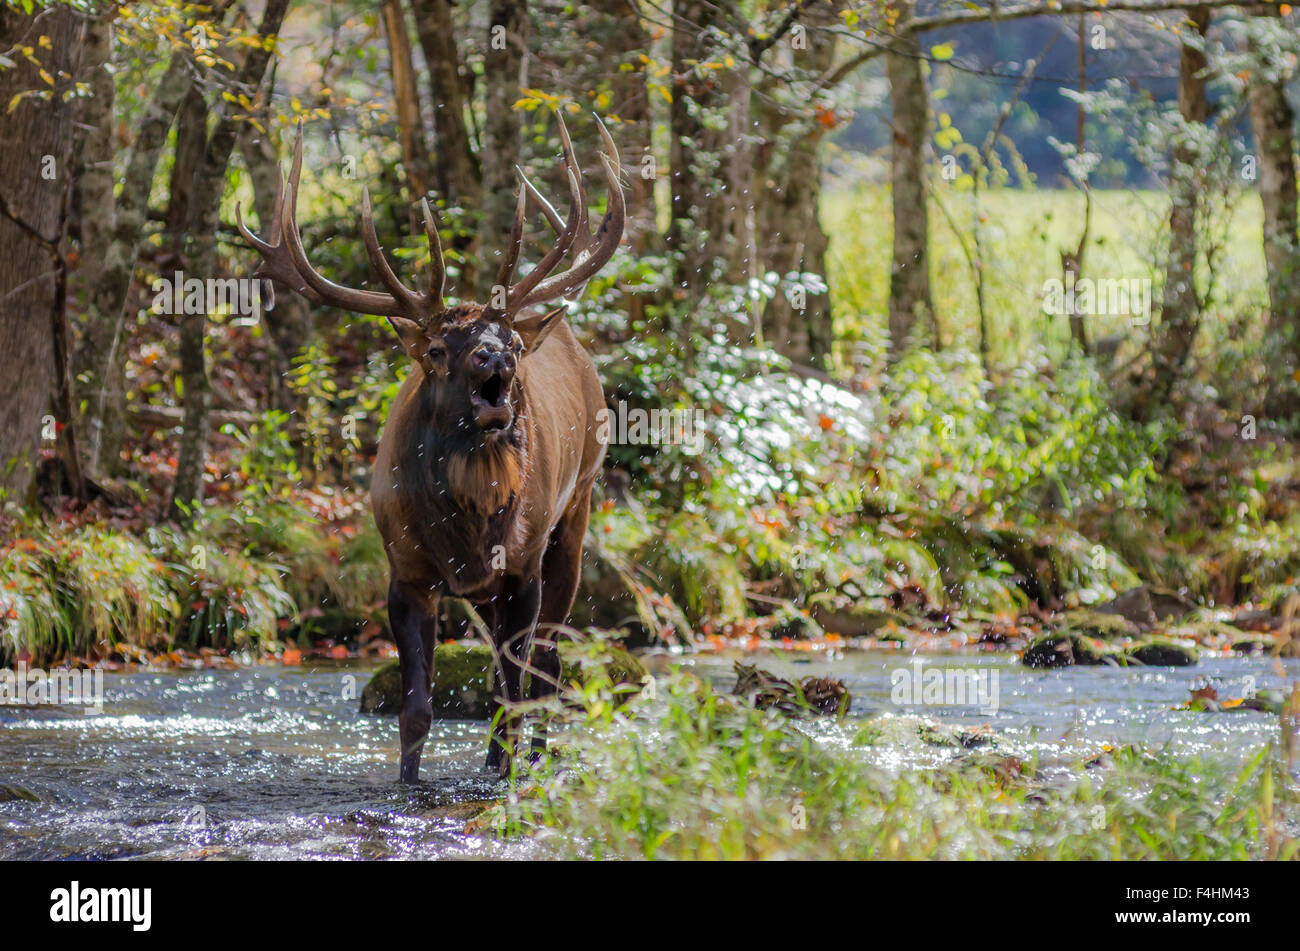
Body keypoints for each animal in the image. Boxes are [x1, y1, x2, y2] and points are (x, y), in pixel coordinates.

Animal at [239, 113, 624, 779]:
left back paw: (536, 759)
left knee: (546, 666)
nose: (495, 357)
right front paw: (408, 783)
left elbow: (513, 689)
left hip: (577, 509)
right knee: (511, 667)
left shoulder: (521, 565)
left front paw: (507, 775)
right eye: (440, 348)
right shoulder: (406, 571)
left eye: (511, 346)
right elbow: (416, 710)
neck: (465, 523)